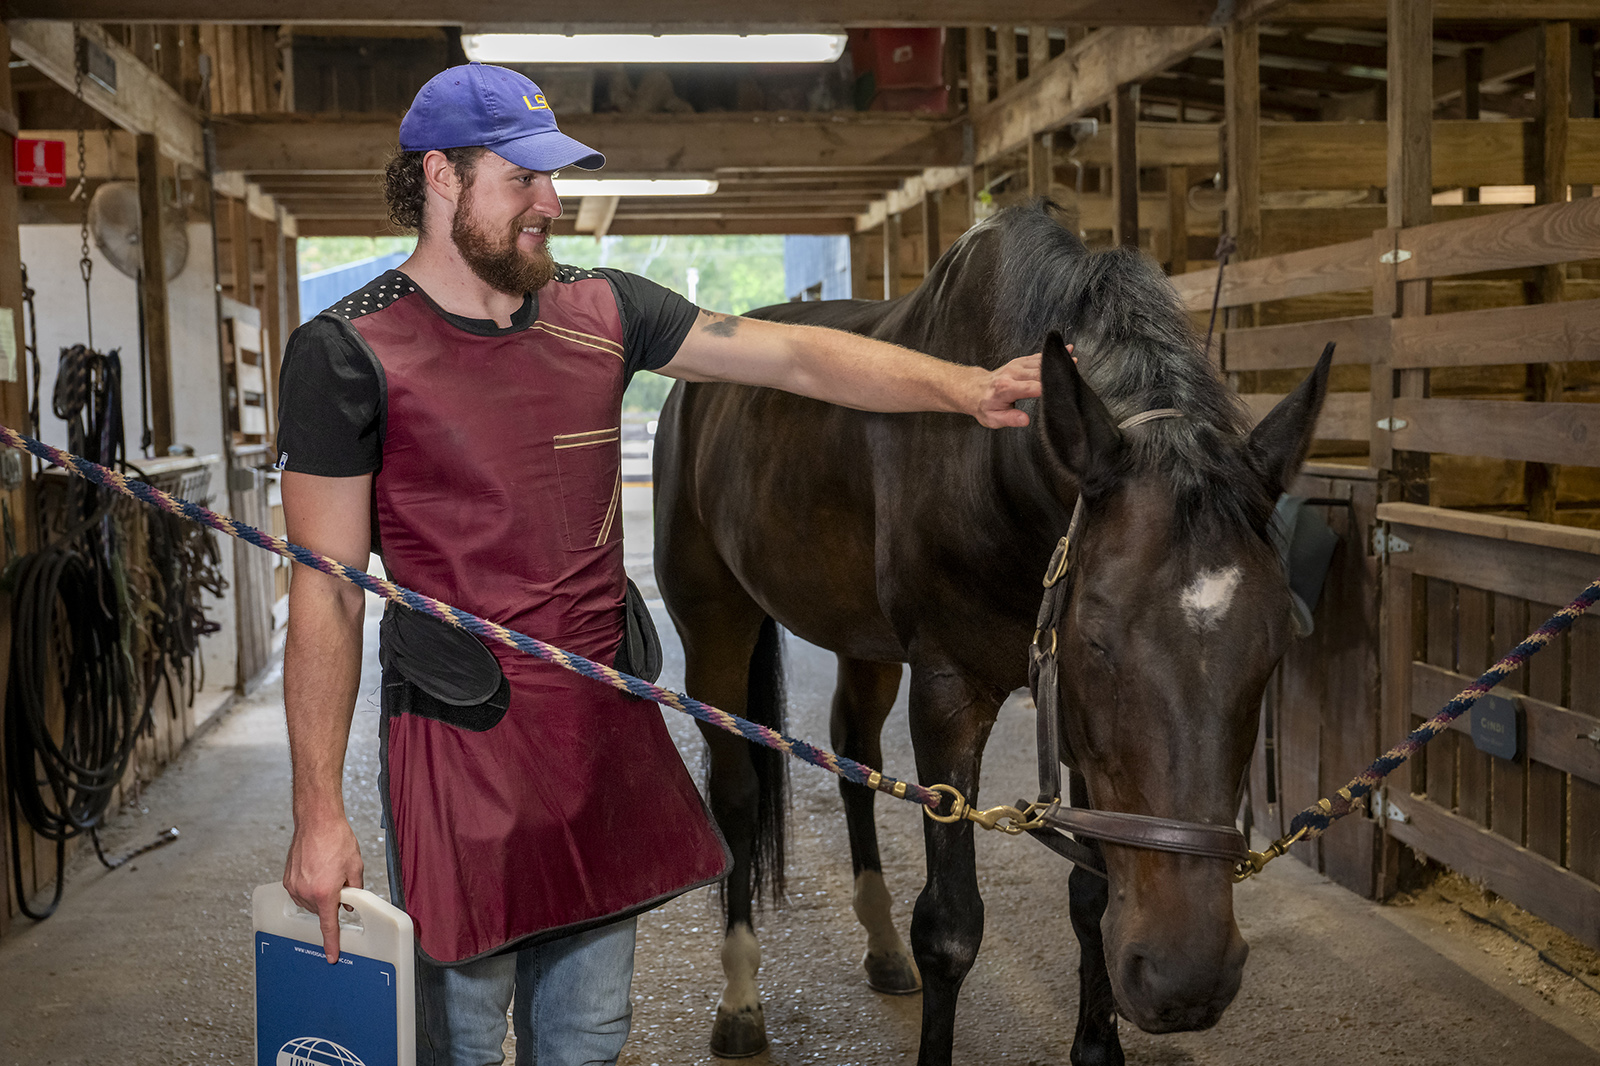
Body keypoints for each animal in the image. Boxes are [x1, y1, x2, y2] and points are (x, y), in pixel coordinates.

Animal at [656, 201, 1331, 1062]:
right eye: (1098, 639)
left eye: (1273, 644)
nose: (1186, 980)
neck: (993, 469)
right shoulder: (950, 694)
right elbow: (950, 928)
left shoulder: (1071, 718)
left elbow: (1092, 894)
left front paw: (1097, 1045)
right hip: (715, 620)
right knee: (738, 795)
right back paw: (741, 1001)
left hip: (865, 646)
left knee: (854, 758)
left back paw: (881, 950)